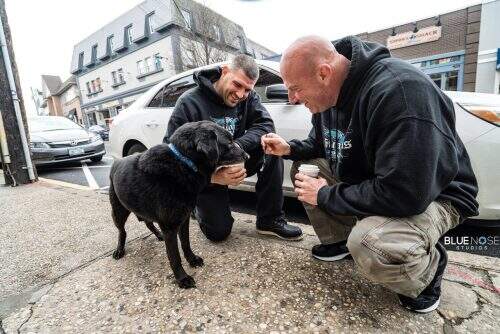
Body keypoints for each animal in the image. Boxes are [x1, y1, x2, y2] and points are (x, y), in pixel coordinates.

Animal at [110, 121, 249, 288]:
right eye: (229, 142)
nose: (247, 155)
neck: (184, 162)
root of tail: (116, 161)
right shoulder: (170, 227)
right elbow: (174, 256)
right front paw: (182, 278)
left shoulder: (184, 219)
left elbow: (185, 243)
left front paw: (192, 259)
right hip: (118, 211)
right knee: (122, 231)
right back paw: (119, 249)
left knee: (148, 223)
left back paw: (158, 235)